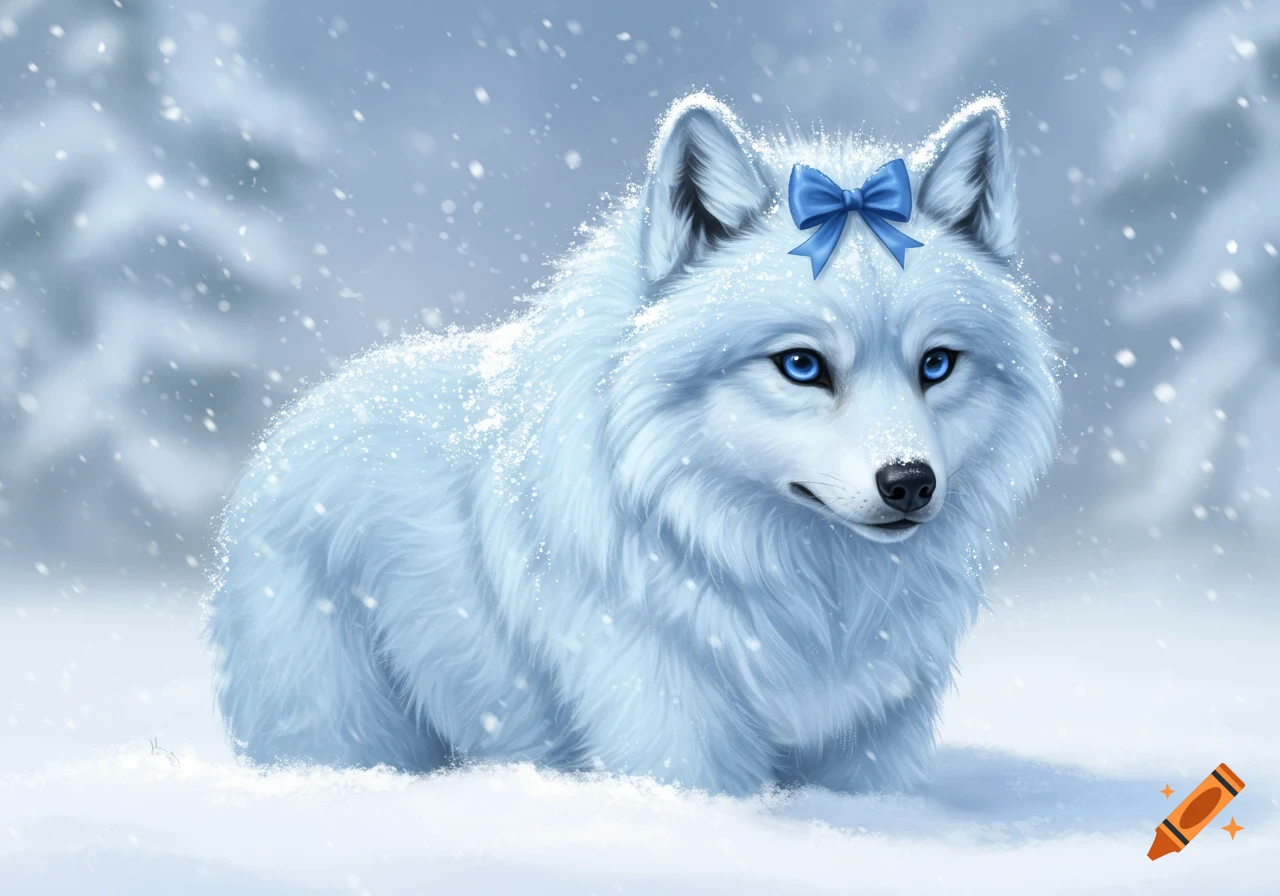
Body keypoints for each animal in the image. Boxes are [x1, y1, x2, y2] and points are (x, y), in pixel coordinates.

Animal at [205, 93, 1060, 796]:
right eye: (802, 365)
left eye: (937, 365)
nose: (909, 481)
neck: (816, 594)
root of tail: (301, 415)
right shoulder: (667, 720)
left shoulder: (876, 734)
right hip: (343, 724)